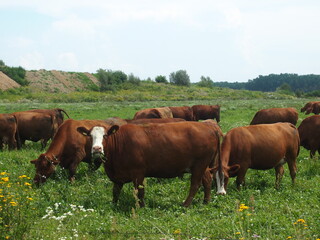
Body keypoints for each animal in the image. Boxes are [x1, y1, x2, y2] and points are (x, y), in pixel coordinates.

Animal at [77, 123, 220, 207]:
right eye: (89, 136)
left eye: (105, 135)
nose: (97, 149)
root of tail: (208, 126)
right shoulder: (117, 176)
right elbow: (115, 192)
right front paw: (113, 205)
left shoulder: (138, 173)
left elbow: (140, 191)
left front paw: (142, 207)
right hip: (203, 167)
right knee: (207, 180)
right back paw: (206, 201)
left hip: (199, 165)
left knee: (195, 184)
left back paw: (186, 204)